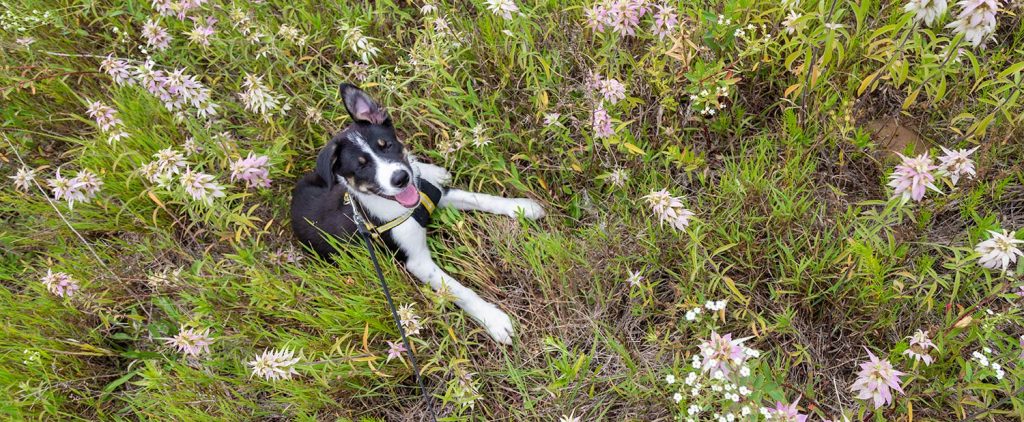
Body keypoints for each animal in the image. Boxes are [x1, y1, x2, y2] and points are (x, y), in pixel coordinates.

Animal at [290, 83, 544, 344]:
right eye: (362, 166)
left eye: (386, 145)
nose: (401, 178)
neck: (401, 207)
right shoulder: (417, 261)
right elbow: (457, 289)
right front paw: (493, 319)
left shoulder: (435, 196)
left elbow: (479, 198)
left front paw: (520, 207)